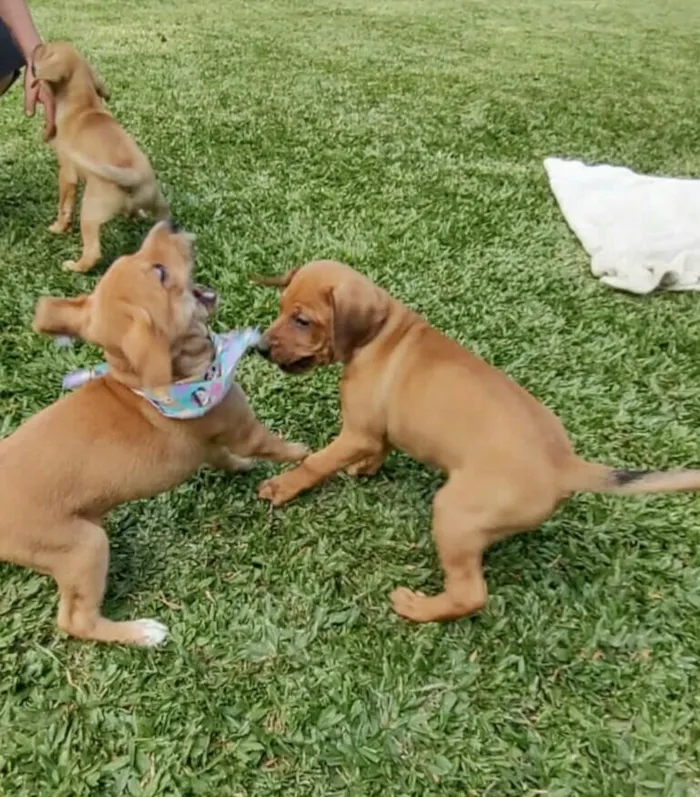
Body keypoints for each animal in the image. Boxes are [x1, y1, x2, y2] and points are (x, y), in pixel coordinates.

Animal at [0, 221, 306, 644]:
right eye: (160, 273)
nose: (168, 223)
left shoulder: (209, 445)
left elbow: (224, 457)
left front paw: (242, 467)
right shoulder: (243, 428)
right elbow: (274, 445)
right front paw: (305, 452)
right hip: (84, 546)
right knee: (76, 620)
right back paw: (141, 633)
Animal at [31, 42, 168, 274]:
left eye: (46, 50)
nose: (37, 45)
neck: (83, 107)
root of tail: (132, 176)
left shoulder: (66, 174)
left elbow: (64, 206)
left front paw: (58, 227)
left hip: (90, 211)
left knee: (93, 252)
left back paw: (75, 266)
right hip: (157, 203)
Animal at [254, 260, 700, 620]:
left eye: (303, 320)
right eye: (281, 309)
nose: (259, 348)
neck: (380, 335)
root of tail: (565, 464)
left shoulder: (355, 431)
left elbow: (315, 462)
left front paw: (282, 486)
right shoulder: (375, 429)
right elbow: (380, 447)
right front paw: (364, 468)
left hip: (455, 514)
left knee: (470, 594)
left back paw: (418, 608)